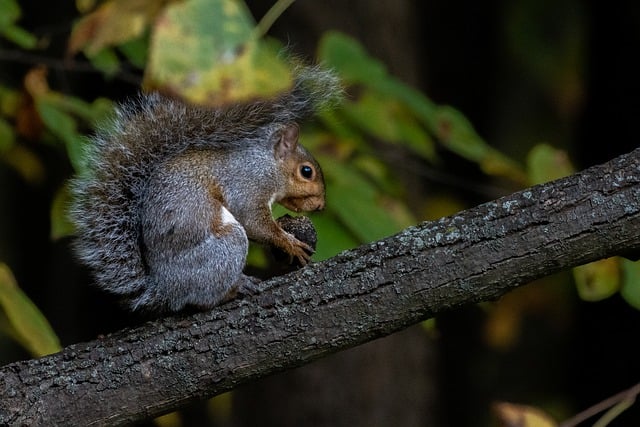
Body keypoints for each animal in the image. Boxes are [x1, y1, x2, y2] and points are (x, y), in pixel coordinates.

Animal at [69, 67, 340, 314]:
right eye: (306, 171)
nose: (320, 205)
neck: (266, 164)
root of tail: (166, 289)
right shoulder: (247, 186)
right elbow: (254, 222)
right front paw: (289, 242)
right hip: (225, 247)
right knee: (203, 298)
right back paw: (235, 289)